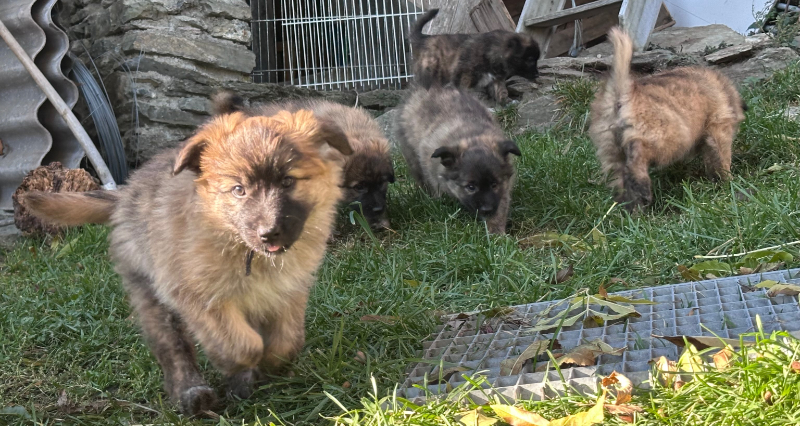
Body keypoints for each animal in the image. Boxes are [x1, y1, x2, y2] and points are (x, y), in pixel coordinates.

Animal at [21, 109, 352, 415]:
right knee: (173, 348)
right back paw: (192, 393)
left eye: (287, 181)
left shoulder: (288, 290)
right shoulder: (197, 295)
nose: (268, 233)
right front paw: (237, 367)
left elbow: (287, 342)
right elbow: (241, 345)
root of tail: (127, 193)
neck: (245, 249)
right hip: (151, 292)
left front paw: (267, 367)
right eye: (238, 190)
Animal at [396, 86, 520, 233]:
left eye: (494, 184)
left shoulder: (502, 191)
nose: (487, 210)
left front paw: (496, 231)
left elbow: (500, 206)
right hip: (412, 156)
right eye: (471, 187)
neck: (472, 136)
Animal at [409, 8, 540, 104]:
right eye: (530, 60)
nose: (537, 75)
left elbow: (502, 91)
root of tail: (423, 39)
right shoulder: (464, 79)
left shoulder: (495, 79)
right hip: (431, 75)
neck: (492, 52)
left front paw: (507, 102)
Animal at [588, 27, 746, 211]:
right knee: (637, 156)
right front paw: (728, 181)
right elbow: (721, 158)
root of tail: (623, 93)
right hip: (666, 138)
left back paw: (630, 207)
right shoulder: (718, 129)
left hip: (611, 149)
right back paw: (642, 188)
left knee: (620, 179)